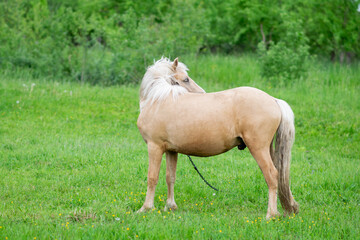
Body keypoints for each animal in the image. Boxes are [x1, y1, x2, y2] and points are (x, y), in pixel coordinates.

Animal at [136, 57, 300, 218]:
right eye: (185, 79)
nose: (202, 93)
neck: (158, 100)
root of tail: (273, 99)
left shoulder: (154, 147)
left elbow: (152, 177)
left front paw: (146, 208)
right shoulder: (171, 150)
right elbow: (170, 177)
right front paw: (170, 206)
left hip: (258, 149)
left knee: (272, 175)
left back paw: (270, 214)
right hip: (269, 149)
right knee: (281, 175)